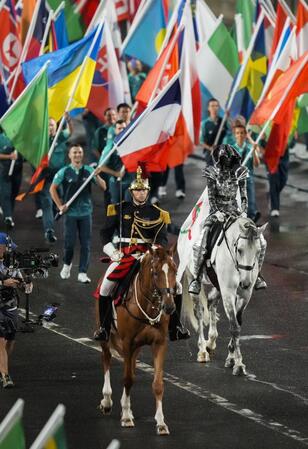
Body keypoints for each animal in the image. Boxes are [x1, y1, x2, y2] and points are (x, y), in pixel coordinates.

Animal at [97, 245, 177, 434]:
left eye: (175, 270)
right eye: (155, 272)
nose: (169, 307)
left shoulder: (159, 344)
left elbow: (157, 384)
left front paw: (161, 423)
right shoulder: (127, 343)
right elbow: (128, 379)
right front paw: (126, 417)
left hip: (136, 347)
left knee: (131, 365)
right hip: (106, 337)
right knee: (106, 359)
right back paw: (107, 401)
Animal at [183, 217, 268, 374]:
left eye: (259, 251)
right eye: (240, 250)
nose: (245, 282)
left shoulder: (244, 295)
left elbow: (237, 322)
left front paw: (231, 357)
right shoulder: (228, 292)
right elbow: (234, 327)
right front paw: (238, 364)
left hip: (219, 286)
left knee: (211, 301)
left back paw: (211, 342)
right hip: (193, 276)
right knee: (199, 312)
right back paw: (202, 351)